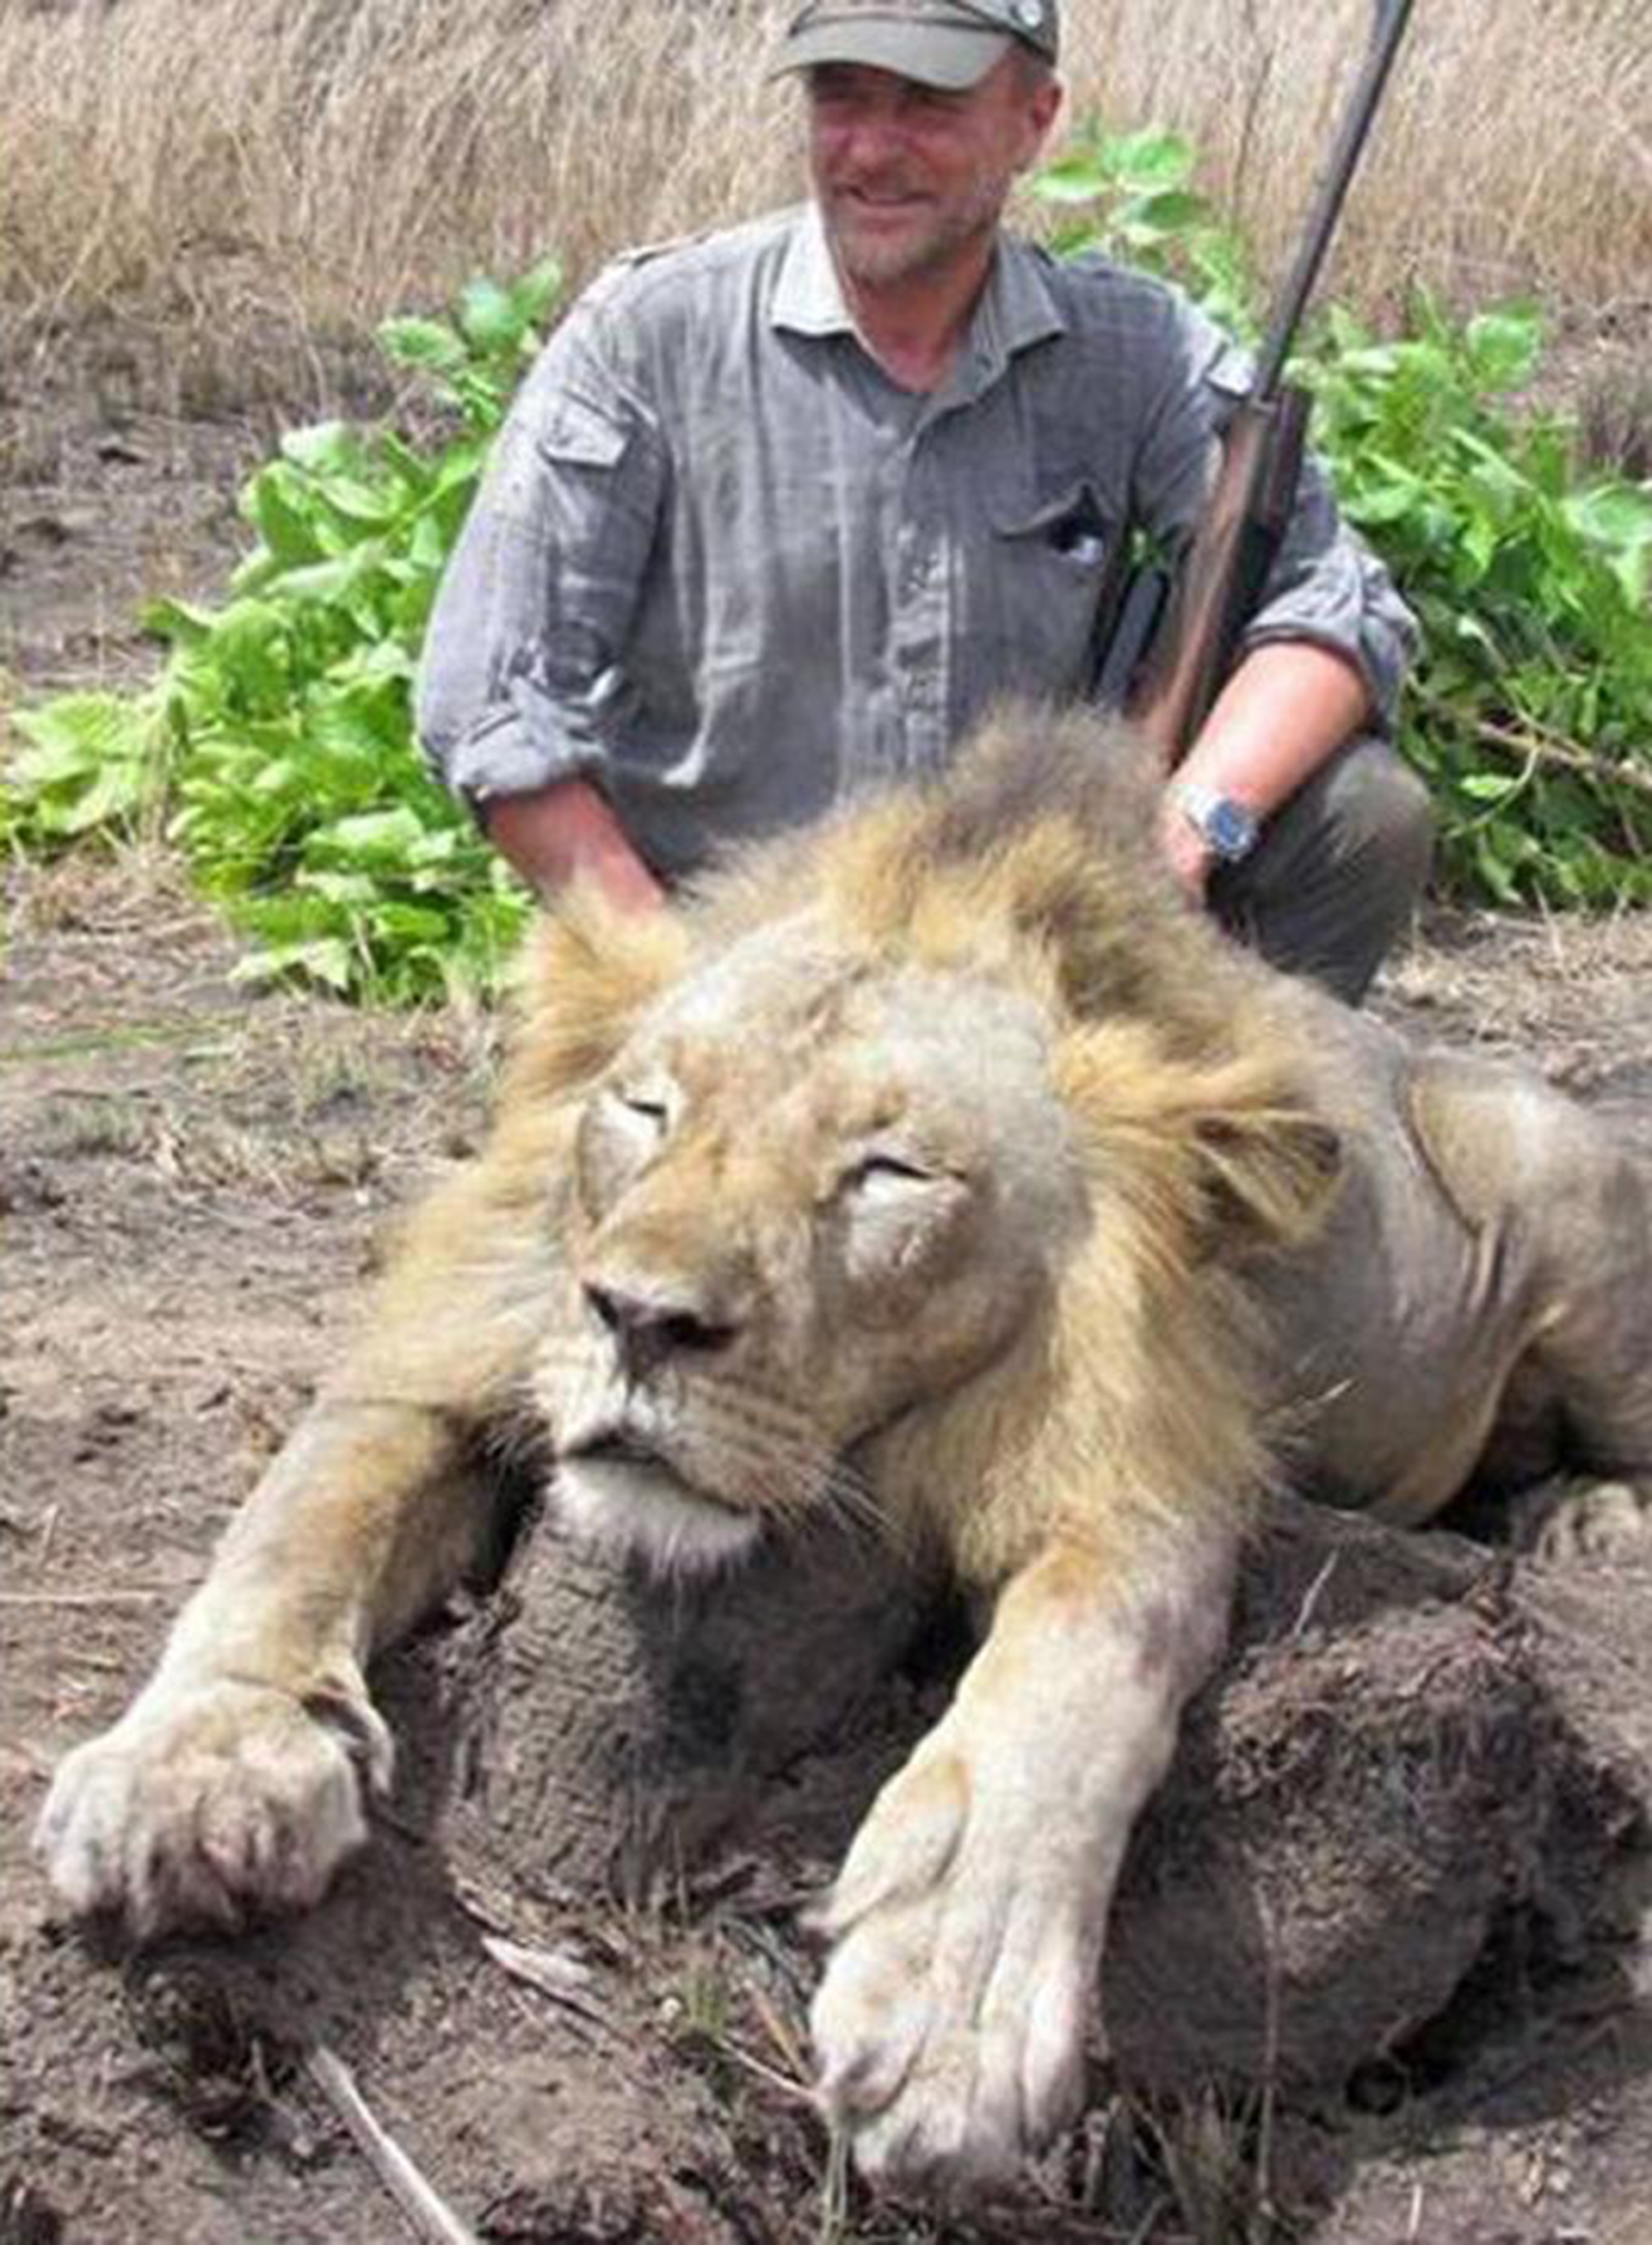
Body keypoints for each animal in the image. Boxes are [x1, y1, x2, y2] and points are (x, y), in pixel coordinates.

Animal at [35, 705, 1652, 2191]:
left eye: (886, 1174)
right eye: (648, 1108)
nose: (639, 1317)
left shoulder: (1137, 1471)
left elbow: (1071, 1681)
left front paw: (951, 2009)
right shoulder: (452, 1353)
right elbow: (302, 1517)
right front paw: (193, 1765)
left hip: (1563, 1206)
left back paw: (1592, 1525)